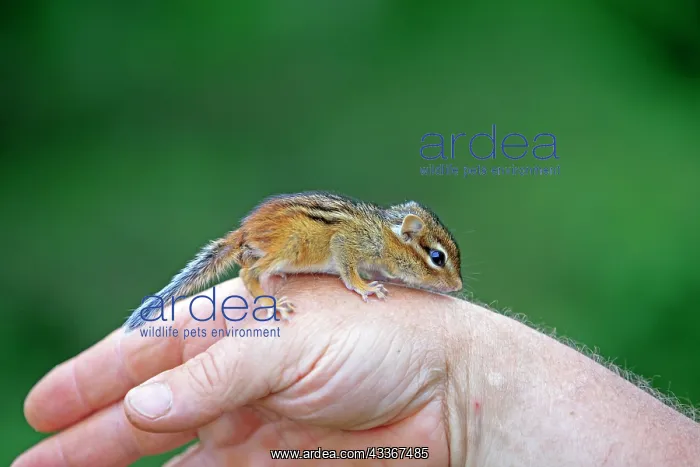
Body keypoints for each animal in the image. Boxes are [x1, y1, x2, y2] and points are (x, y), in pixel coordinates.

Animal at [124, 191, 462, 330]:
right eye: (437, 257)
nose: (458, 285)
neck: (383, 233)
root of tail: (245, 230)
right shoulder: (346, 243)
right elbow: (348, 271)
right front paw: (364, 287)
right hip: (290, 245)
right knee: (249, 273)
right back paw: (269, 302)